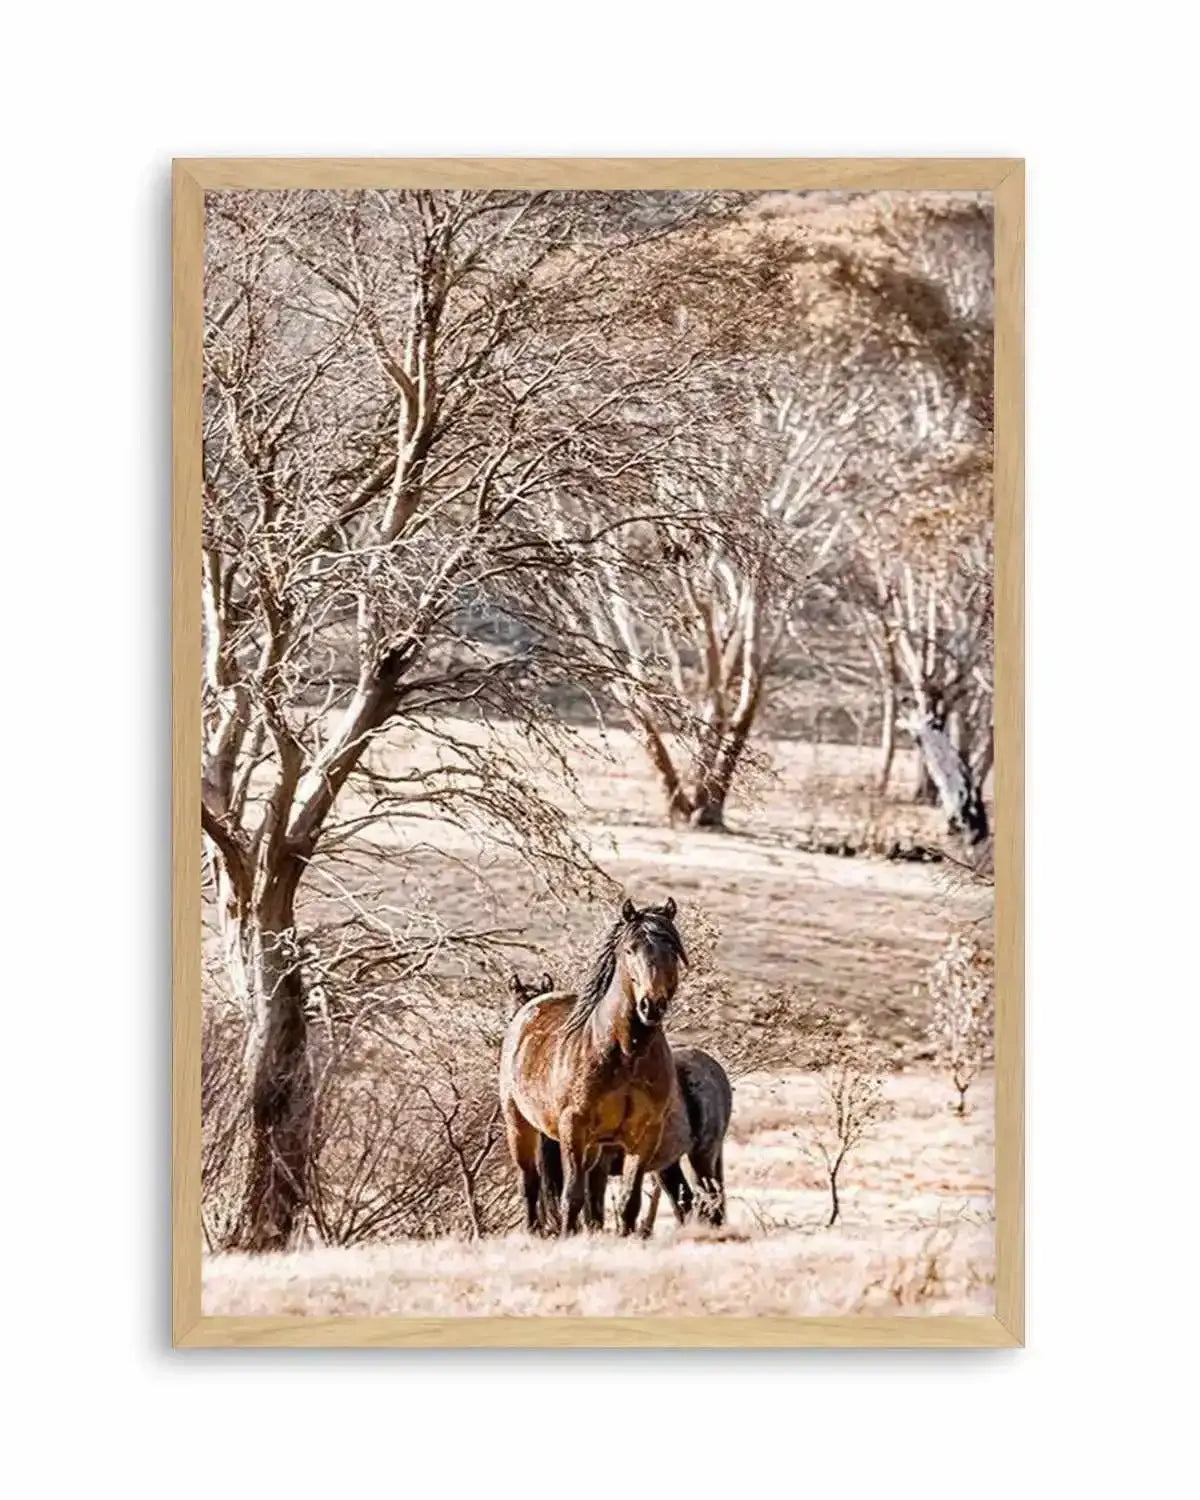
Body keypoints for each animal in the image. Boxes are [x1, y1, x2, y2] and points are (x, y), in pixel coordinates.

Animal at [499, 897, 688, 1236]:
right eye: (630, 950)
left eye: (672, 949)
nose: (651, 1005)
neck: (625, 1052)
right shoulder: (573, 1127)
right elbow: (572, 1196)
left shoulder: (644, 1134)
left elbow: (628, 1201)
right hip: (520, 1125)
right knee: (530, 1182)